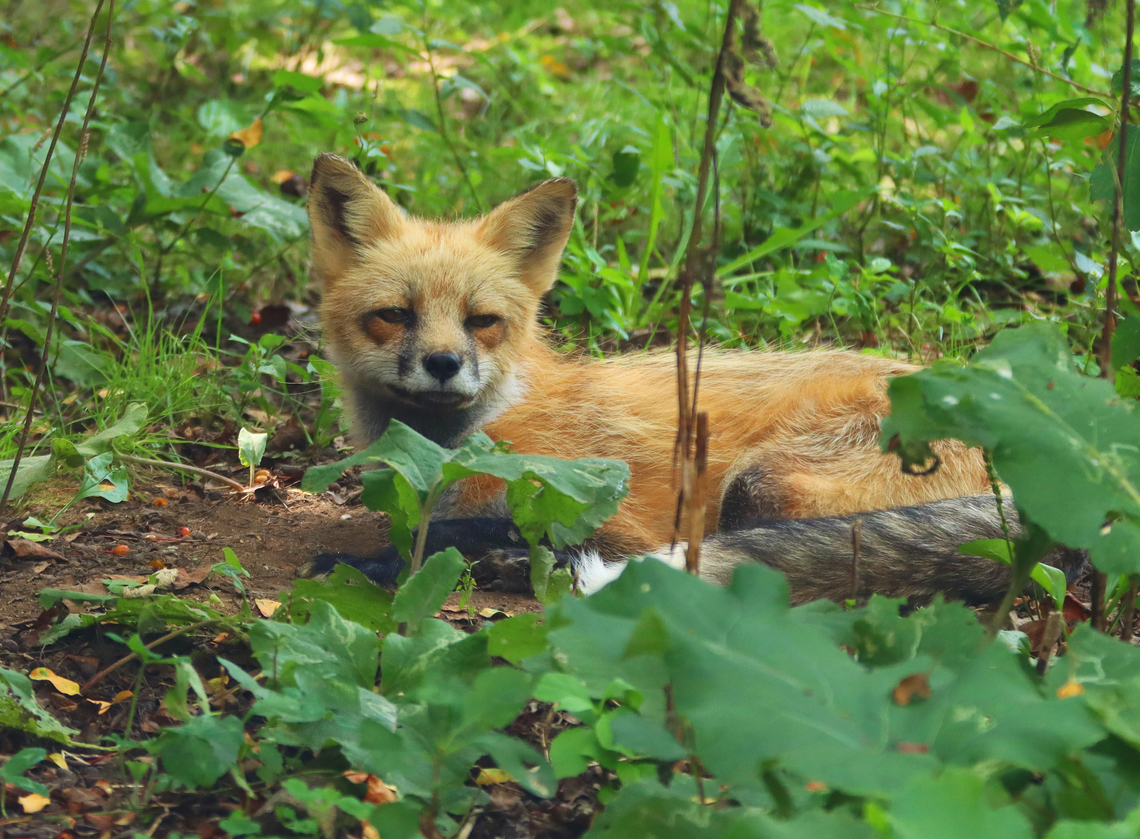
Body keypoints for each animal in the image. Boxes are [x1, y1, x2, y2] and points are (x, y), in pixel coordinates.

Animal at [301, 153, 1085, 605]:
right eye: (394, 316)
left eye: (481, 321)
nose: (443, 364)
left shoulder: (617, 511)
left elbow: (464, 530)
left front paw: (381, 561)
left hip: (764, 484)